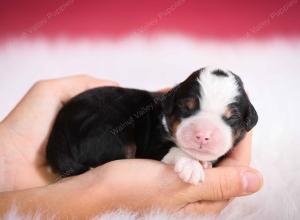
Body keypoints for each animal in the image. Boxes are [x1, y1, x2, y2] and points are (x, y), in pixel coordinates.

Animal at [46, 67, 258, 184]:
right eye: (186, 108)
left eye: (232, 117)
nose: (202, 135)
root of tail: (58, 130)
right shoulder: (152, 146)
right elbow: (174, 149)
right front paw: (191, 166)